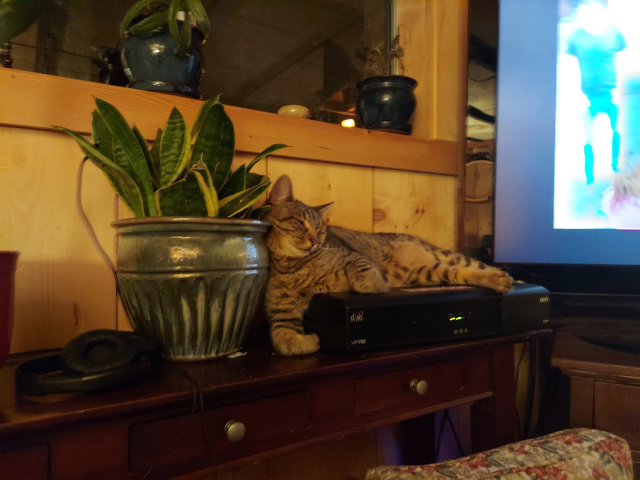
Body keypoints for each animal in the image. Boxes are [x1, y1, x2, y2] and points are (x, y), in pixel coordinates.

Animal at [264, 174, 516, 354]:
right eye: (298, 223)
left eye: (319, 228)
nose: (315, 240)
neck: (296, 267)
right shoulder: (281, 316)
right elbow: (284, 340)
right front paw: (311, 340)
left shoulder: (354, 257)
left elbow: (360, 269)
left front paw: (373, 284)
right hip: (427, 273)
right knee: (460, 273)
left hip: (446, 258)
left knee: (477, 267)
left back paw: (505, 278)